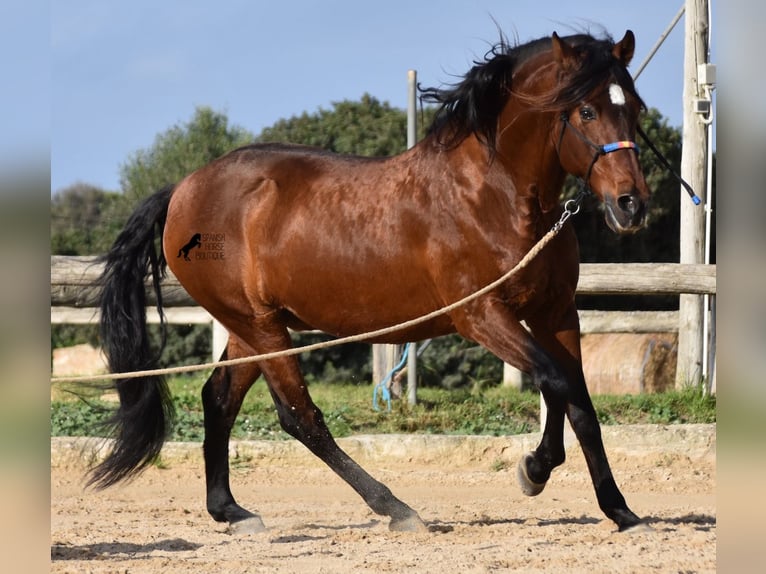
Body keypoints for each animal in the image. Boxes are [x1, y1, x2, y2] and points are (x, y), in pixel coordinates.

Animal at [93, 30, 652, 536]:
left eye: (636, 108)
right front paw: (533, 471)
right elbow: (554, 383)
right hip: (260, 327)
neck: (493, 196)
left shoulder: (555, 313)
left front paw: (622, 513)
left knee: (219, 399)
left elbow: (580, 403)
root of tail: (181, 191)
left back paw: (231, 511)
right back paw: (397, 509)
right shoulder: (481, 315)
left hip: (251, 329)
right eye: (585, 111)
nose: (632, 205)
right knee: (300, 417)